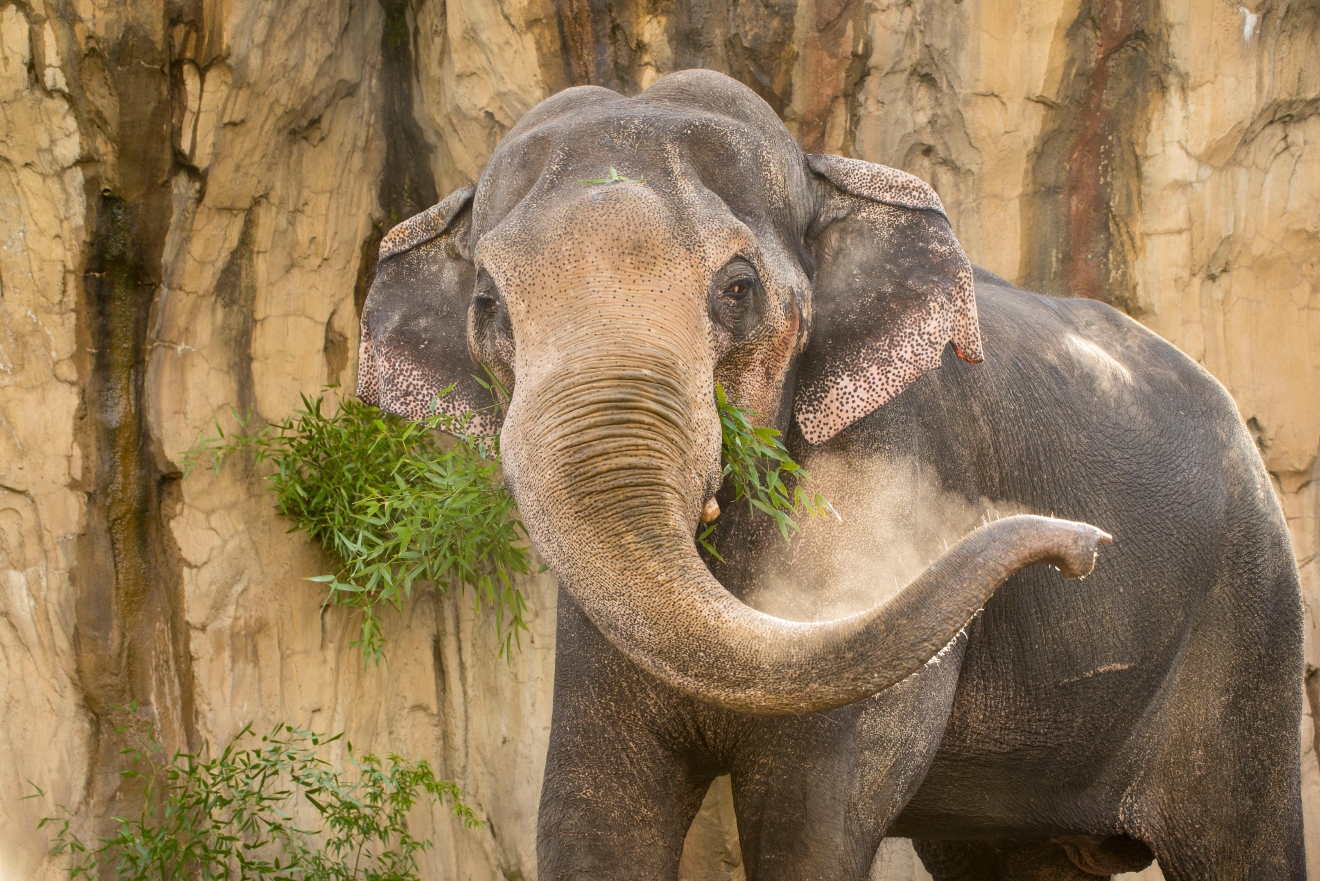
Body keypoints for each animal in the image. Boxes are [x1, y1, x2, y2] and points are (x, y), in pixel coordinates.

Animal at [351, 70, 1298, 881]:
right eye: (487, 307)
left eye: (737, 289)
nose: (1086, 547)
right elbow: (593, 814)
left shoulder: (892, 468)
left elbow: (813, 815)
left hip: (1250, 624)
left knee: (1242, 838)